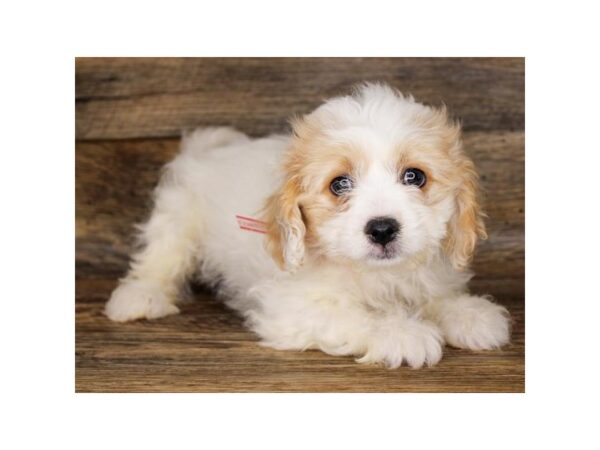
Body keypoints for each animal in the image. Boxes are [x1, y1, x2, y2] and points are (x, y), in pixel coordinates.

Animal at [105, 82, 508, 368]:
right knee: (160, 257)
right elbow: (353, 316)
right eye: (339, 184)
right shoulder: (292, 307)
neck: (378, 275)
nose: (382, 229)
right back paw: (139, 298)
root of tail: (209, 148)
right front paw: (402, 332)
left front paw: (469, 313)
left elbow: (434, 297)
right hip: (177, 217)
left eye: (415, 176)